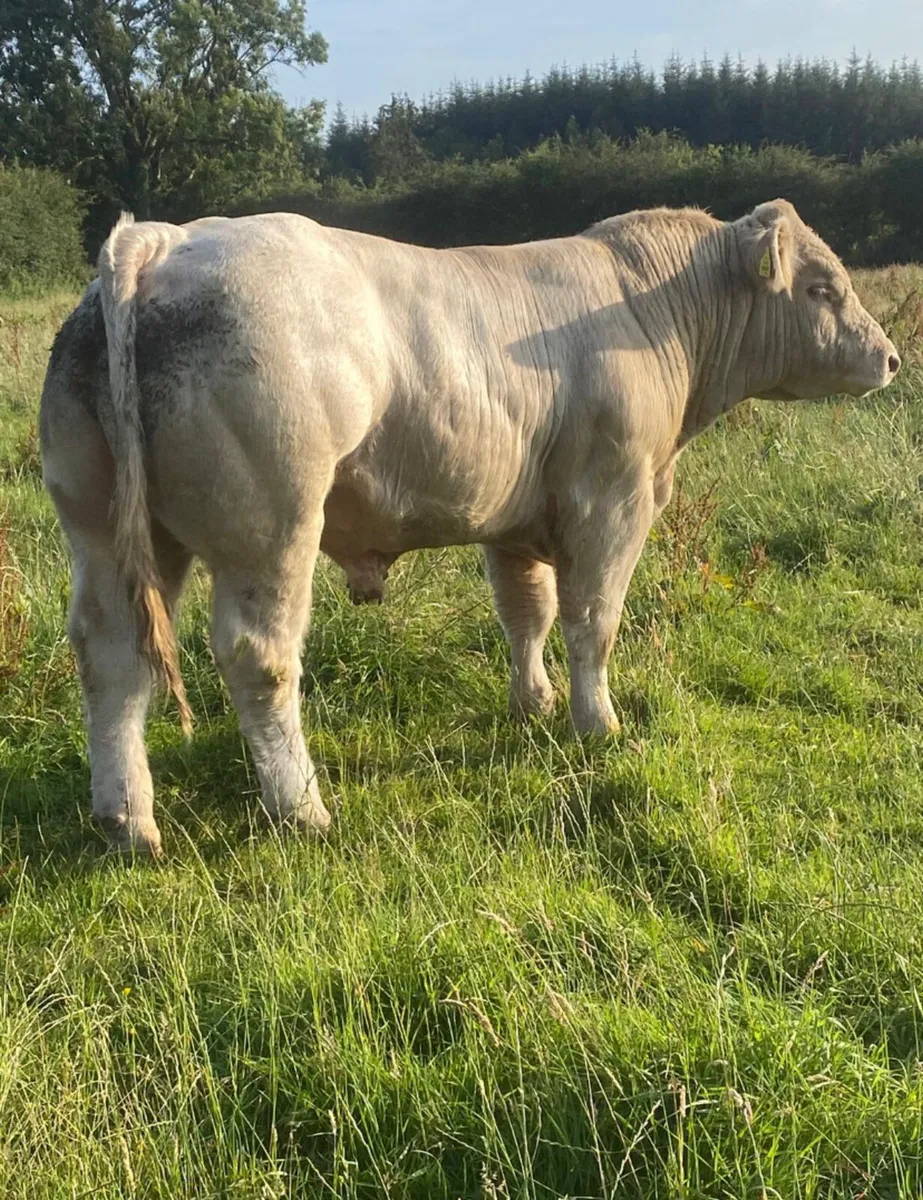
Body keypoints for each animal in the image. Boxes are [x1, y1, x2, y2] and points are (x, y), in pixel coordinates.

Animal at [40, 200, 900, 854]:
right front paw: (597, 724)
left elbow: (527, 614)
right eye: (822, 289)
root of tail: (164, 241)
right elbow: (593, 622)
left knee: (110, 657)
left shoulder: (515, 521)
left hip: (110, 531)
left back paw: (127, 820)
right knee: (260, 657)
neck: (648, 309)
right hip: (270, 526)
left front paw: (534, 703)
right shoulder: (611, 502)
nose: (891, 358)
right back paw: (301, 808)